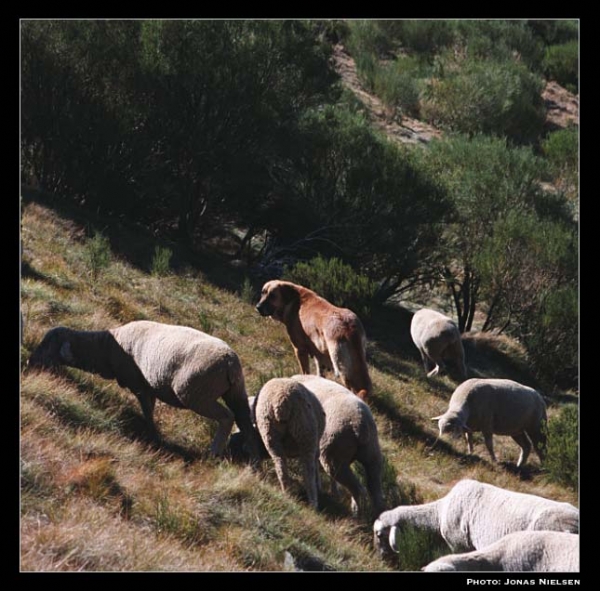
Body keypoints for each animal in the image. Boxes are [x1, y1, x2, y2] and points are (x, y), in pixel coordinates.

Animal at [27, 320, 260, 462]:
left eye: (47, 345)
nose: (30, 363)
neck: (107, 348)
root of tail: (229, 360)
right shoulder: (148, 387)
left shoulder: (140, 385)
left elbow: (147, 410)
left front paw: (153, 433)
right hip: (235, 392)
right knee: (245, 423)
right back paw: (252, 459)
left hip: (196, 394)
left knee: (227, 417)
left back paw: (214, 453)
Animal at [292, 374, 386, 520]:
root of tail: (360, 425)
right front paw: (331, 491)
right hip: (371, 453)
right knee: (375, 492)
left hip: (334, 455)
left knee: (358, 489)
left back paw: (357, 515)